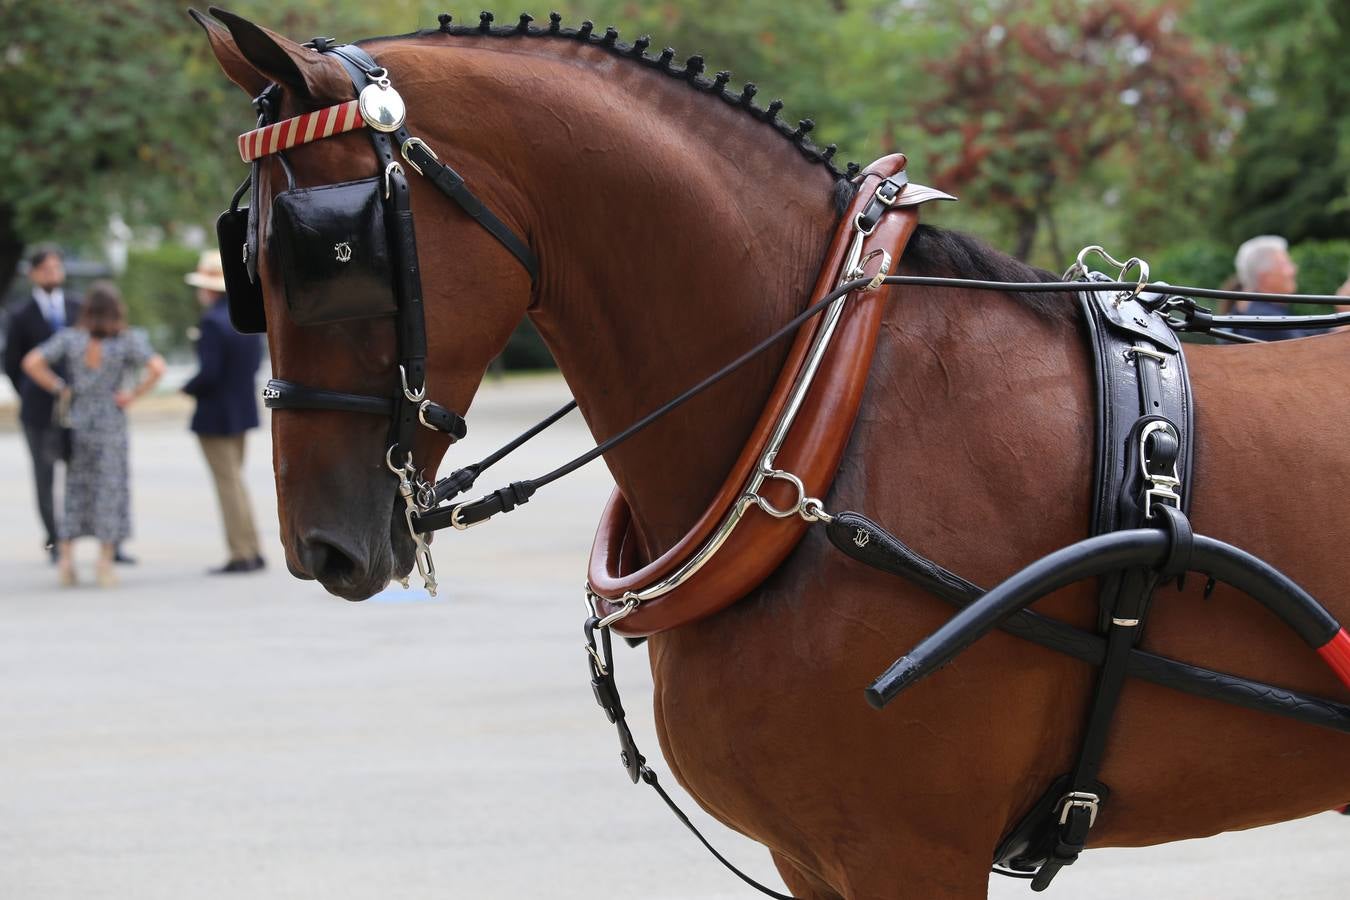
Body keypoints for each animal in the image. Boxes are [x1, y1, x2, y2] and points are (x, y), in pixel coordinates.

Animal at [197, 8, 1350, 900]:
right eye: (244, 257)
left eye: (328, 249)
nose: (320, 546)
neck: (829, 409)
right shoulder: (813, 856)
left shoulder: (907, 853)